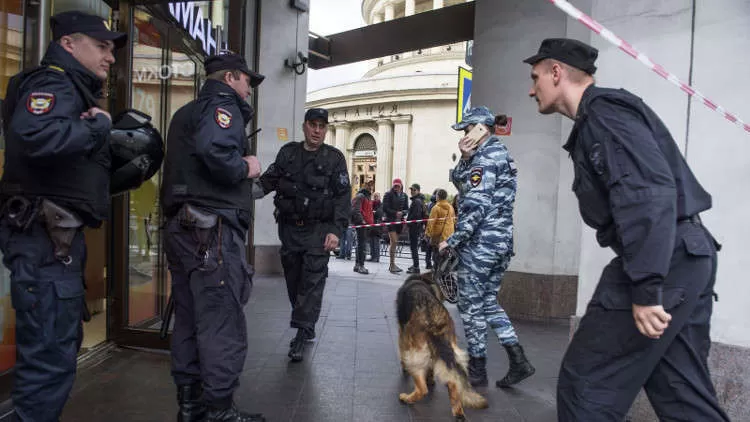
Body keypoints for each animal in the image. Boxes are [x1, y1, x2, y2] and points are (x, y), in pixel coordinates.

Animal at [396, 272, 490, 420]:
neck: (423, 279)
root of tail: (435, 321)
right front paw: (430, 378)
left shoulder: (402, 333)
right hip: (453, 352)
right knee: (453, 381)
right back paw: (458, 412)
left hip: (414, 355)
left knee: (422, 389)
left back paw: (407, 398)